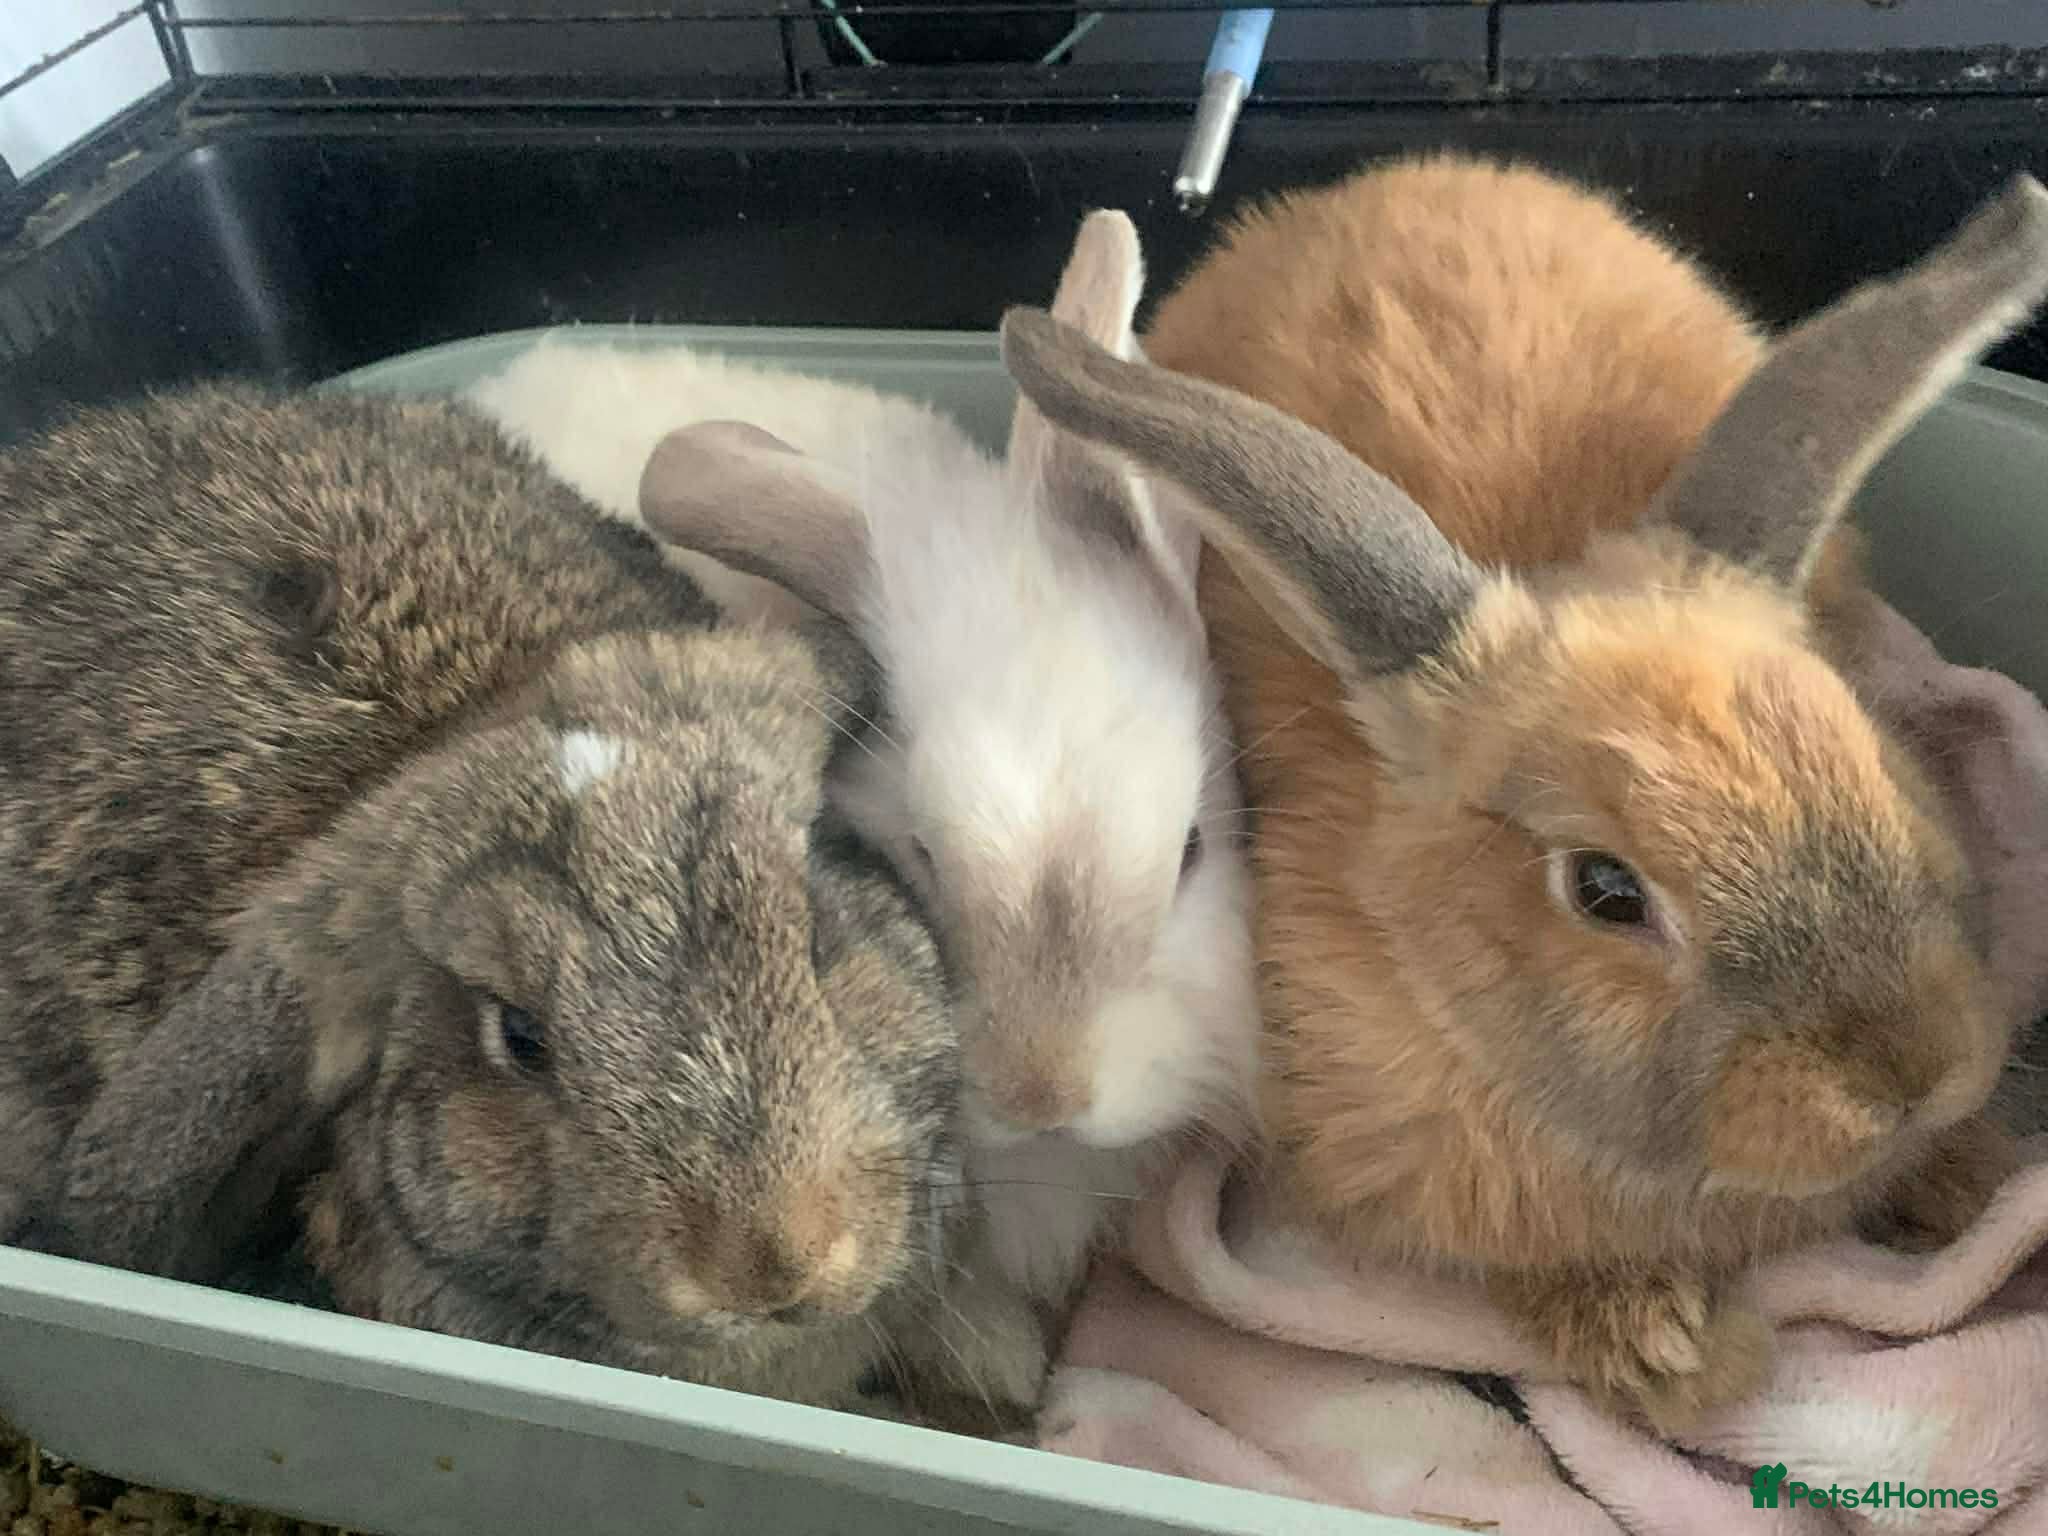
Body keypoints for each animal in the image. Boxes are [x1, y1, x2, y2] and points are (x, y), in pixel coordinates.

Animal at [993, 160, 2048, 1433]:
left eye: (1863, 744)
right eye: (1602, 890)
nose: (1911, 1075)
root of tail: (1376, 181)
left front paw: (1974, 1178)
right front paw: (1673, 1354)